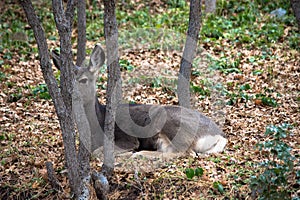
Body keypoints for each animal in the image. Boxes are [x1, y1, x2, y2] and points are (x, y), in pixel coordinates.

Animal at [51, 44, 226, 155]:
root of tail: (219, 135)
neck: (98, 122)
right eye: (63, 80)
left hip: (171, 124)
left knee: (183, 153)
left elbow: (99, 151)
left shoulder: (127, 139)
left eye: (83, 80)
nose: (68, 94)